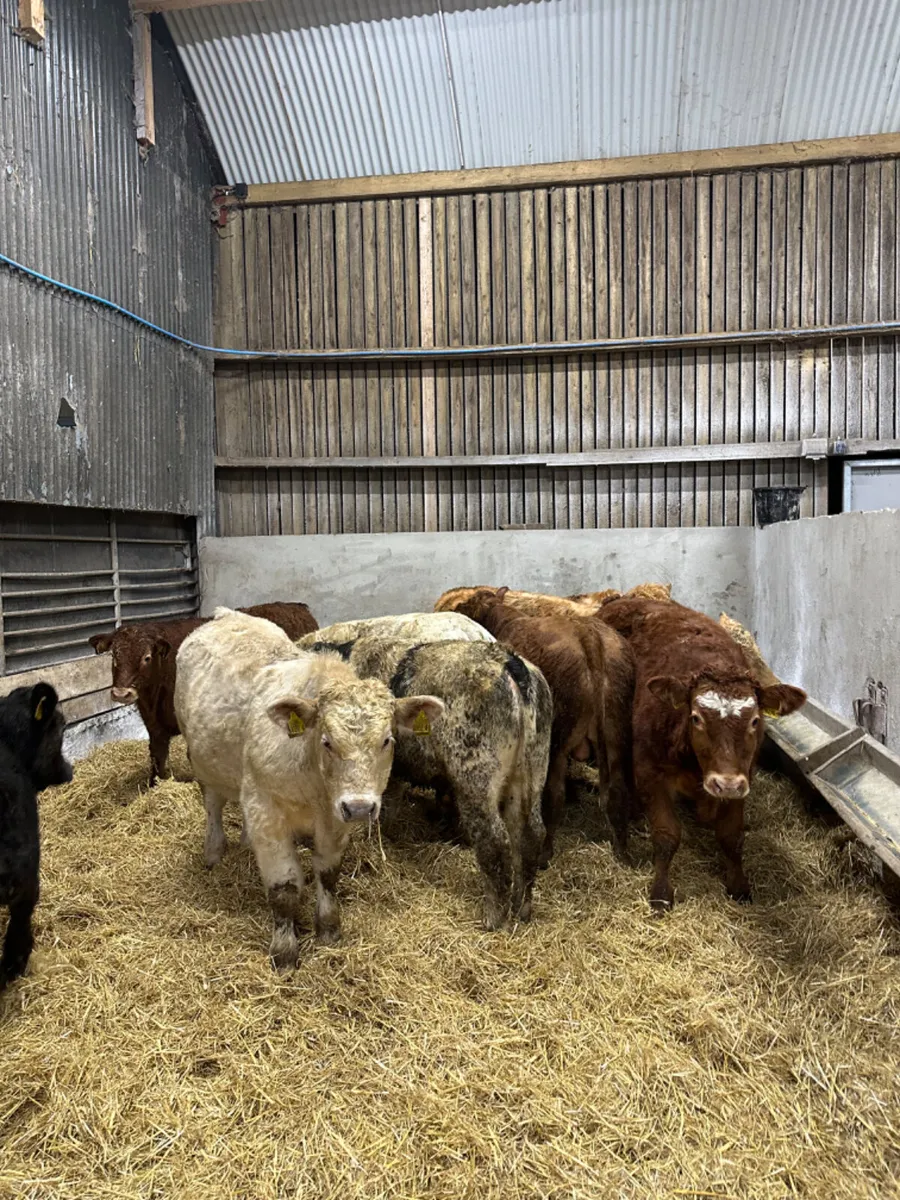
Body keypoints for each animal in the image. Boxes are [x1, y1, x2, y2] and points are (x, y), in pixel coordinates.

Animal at [89, 602, 319, 784]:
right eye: (114, 656)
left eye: (146, 657)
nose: (121, 693)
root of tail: (297, 606)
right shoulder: (155, 726)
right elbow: (157, 758)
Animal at [174, 609, 443, 967]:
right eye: (327, 741)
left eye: (387, 740)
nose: (360, 807)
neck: (313, 784)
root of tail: (226, 614)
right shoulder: (267, 811)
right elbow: (284, 887)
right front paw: (284, 952)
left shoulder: (335, 819)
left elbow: (328, 874)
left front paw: (328, 930)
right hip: (202, 762)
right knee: (213, 805)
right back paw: (214, 852)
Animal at [306, 627, 551, 930]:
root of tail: (509, 662)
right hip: (533, 771)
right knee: (530, 835)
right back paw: (522, 909)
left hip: (476, 778)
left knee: (495, 842)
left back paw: (494, 918)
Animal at [452, 587, 634, 866]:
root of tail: (589, 636)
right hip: (616, 735)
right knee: (616, 792)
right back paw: (621, 852)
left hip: (557, 738)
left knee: (554, 796)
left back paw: (544, 853)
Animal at [599, 597, 806, 909]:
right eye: (696, 717)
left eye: (755, 720)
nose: (725, 784)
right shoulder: (650, 771)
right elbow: (666, 834)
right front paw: (661, 893)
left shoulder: (743, 775)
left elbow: (731, 836)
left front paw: (739, 885)